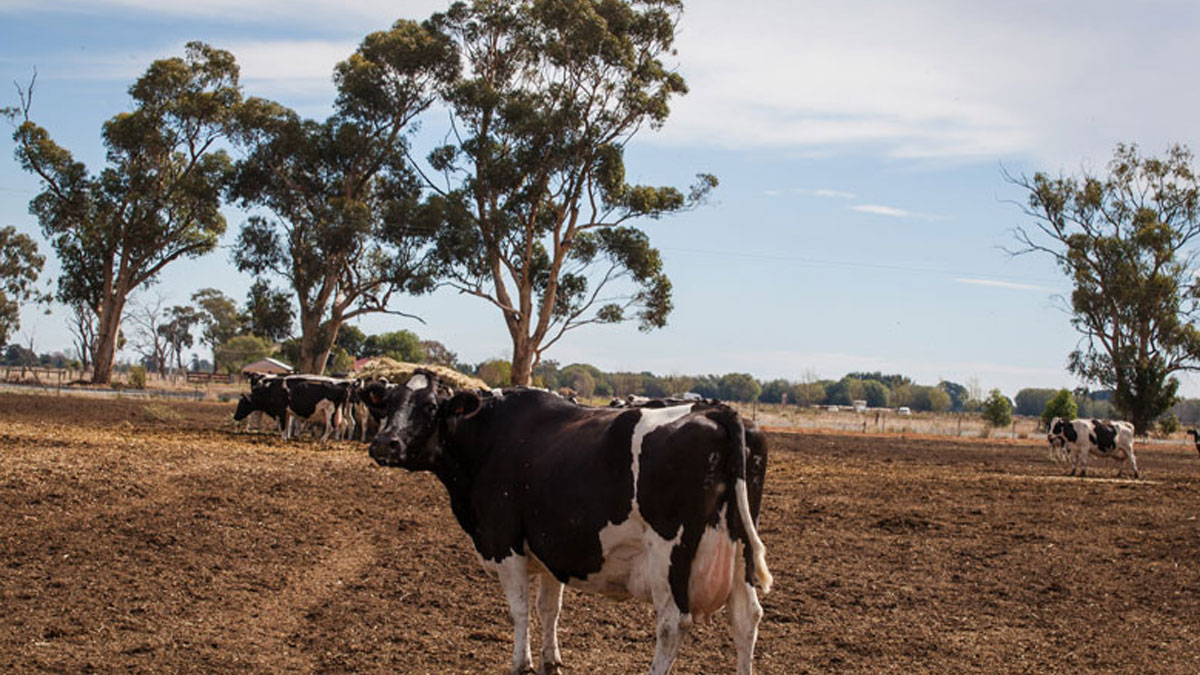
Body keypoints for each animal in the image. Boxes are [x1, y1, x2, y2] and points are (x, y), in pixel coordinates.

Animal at [369, 369, 772, 672]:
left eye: (430, 407)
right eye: (387, 404)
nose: (384, 443)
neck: (488, 439)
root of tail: (718, 412)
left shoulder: (504, 542)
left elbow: (519, 610)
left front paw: (522, 663)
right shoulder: (553, 546)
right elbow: (549, 609)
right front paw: (551, 660)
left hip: (669, 554)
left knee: (672, 624)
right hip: (739, 549)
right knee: (746, 618)